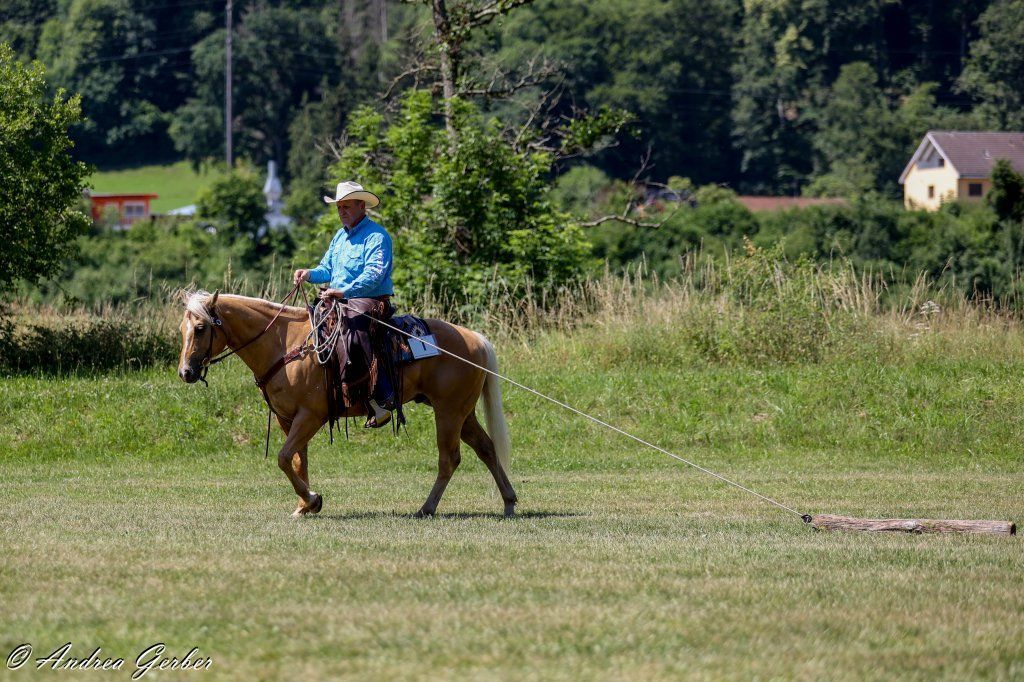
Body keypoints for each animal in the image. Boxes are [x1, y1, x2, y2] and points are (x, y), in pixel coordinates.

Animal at [176, 290, 518, 518]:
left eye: (201, 328)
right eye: (182, 329)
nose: (186, 372)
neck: (285, 346)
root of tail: (474, 338)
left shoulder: (310, 416)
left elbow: (283, 458)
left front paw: (312, 500)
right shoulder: (288, 418)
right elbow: (297, 460)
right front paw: (304, 506)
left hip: (448, 412)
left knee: (449, 459)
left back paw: (426, 508)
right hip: (462, 413)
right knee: (486, 449)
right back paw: (509, 502)